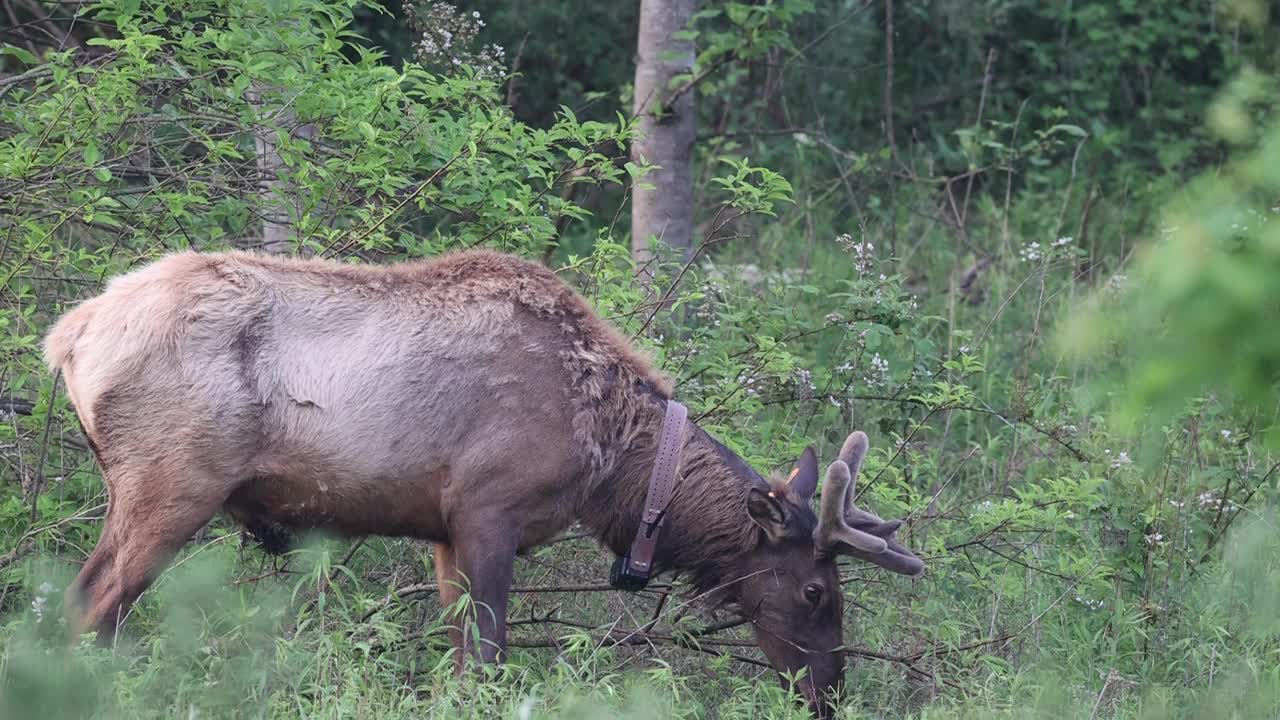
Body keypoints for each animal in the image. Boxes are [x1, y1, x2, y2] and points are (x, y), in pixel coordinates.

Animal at [42, 249, 921, 712]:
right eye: (817, 590)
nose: (829, 691)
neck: (615, 471)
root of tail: (67, 337)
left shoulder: (440, 531)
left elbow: (461, 666)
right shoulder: (489, 510)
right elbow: (492, 661)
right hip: (171, 481)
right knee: (90, 606)